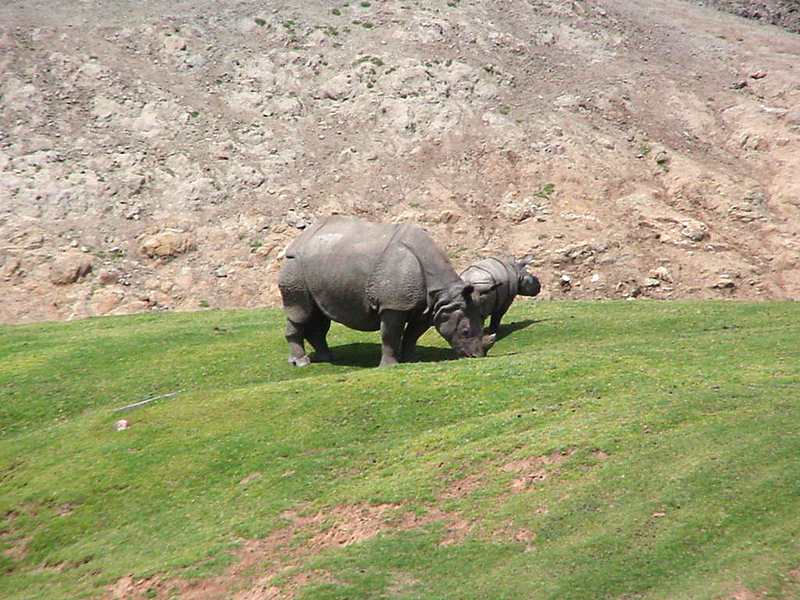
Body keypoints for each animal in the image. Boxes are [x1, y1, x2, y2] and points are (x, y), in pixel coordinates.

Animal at [278, 216, 498, 367]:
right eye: (465, 331)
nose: (476, 356)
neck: (445, 293)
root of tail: (297, 240)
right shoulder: (394, 305)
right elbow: (390, 335)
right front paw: (389, 366)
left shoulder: (428, 306)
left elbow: (412, 335)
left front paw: (411, 360)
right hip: (295, 266)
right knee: (301, 312)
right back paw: (301, 363)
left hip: (320, 267)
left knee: (318, 316)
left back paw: (327, 359)